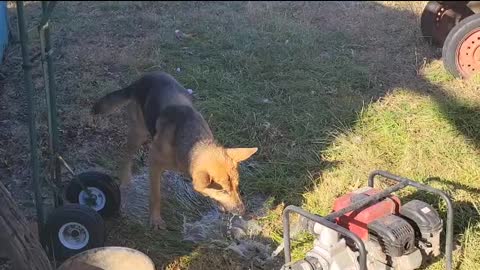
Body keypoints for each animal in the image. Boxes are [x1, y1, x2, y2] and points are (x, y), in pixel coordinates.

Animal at [94, 72, 258, 230]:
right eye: (223, 190)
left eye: (236, 186)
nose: (242, 211)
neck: (194, 143)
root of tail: (143, 78)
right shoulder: (153, 163)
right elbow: (155, 196)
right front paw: (155, 219)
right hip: (138, 133)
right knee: (126, 156)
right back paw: (126, 179)